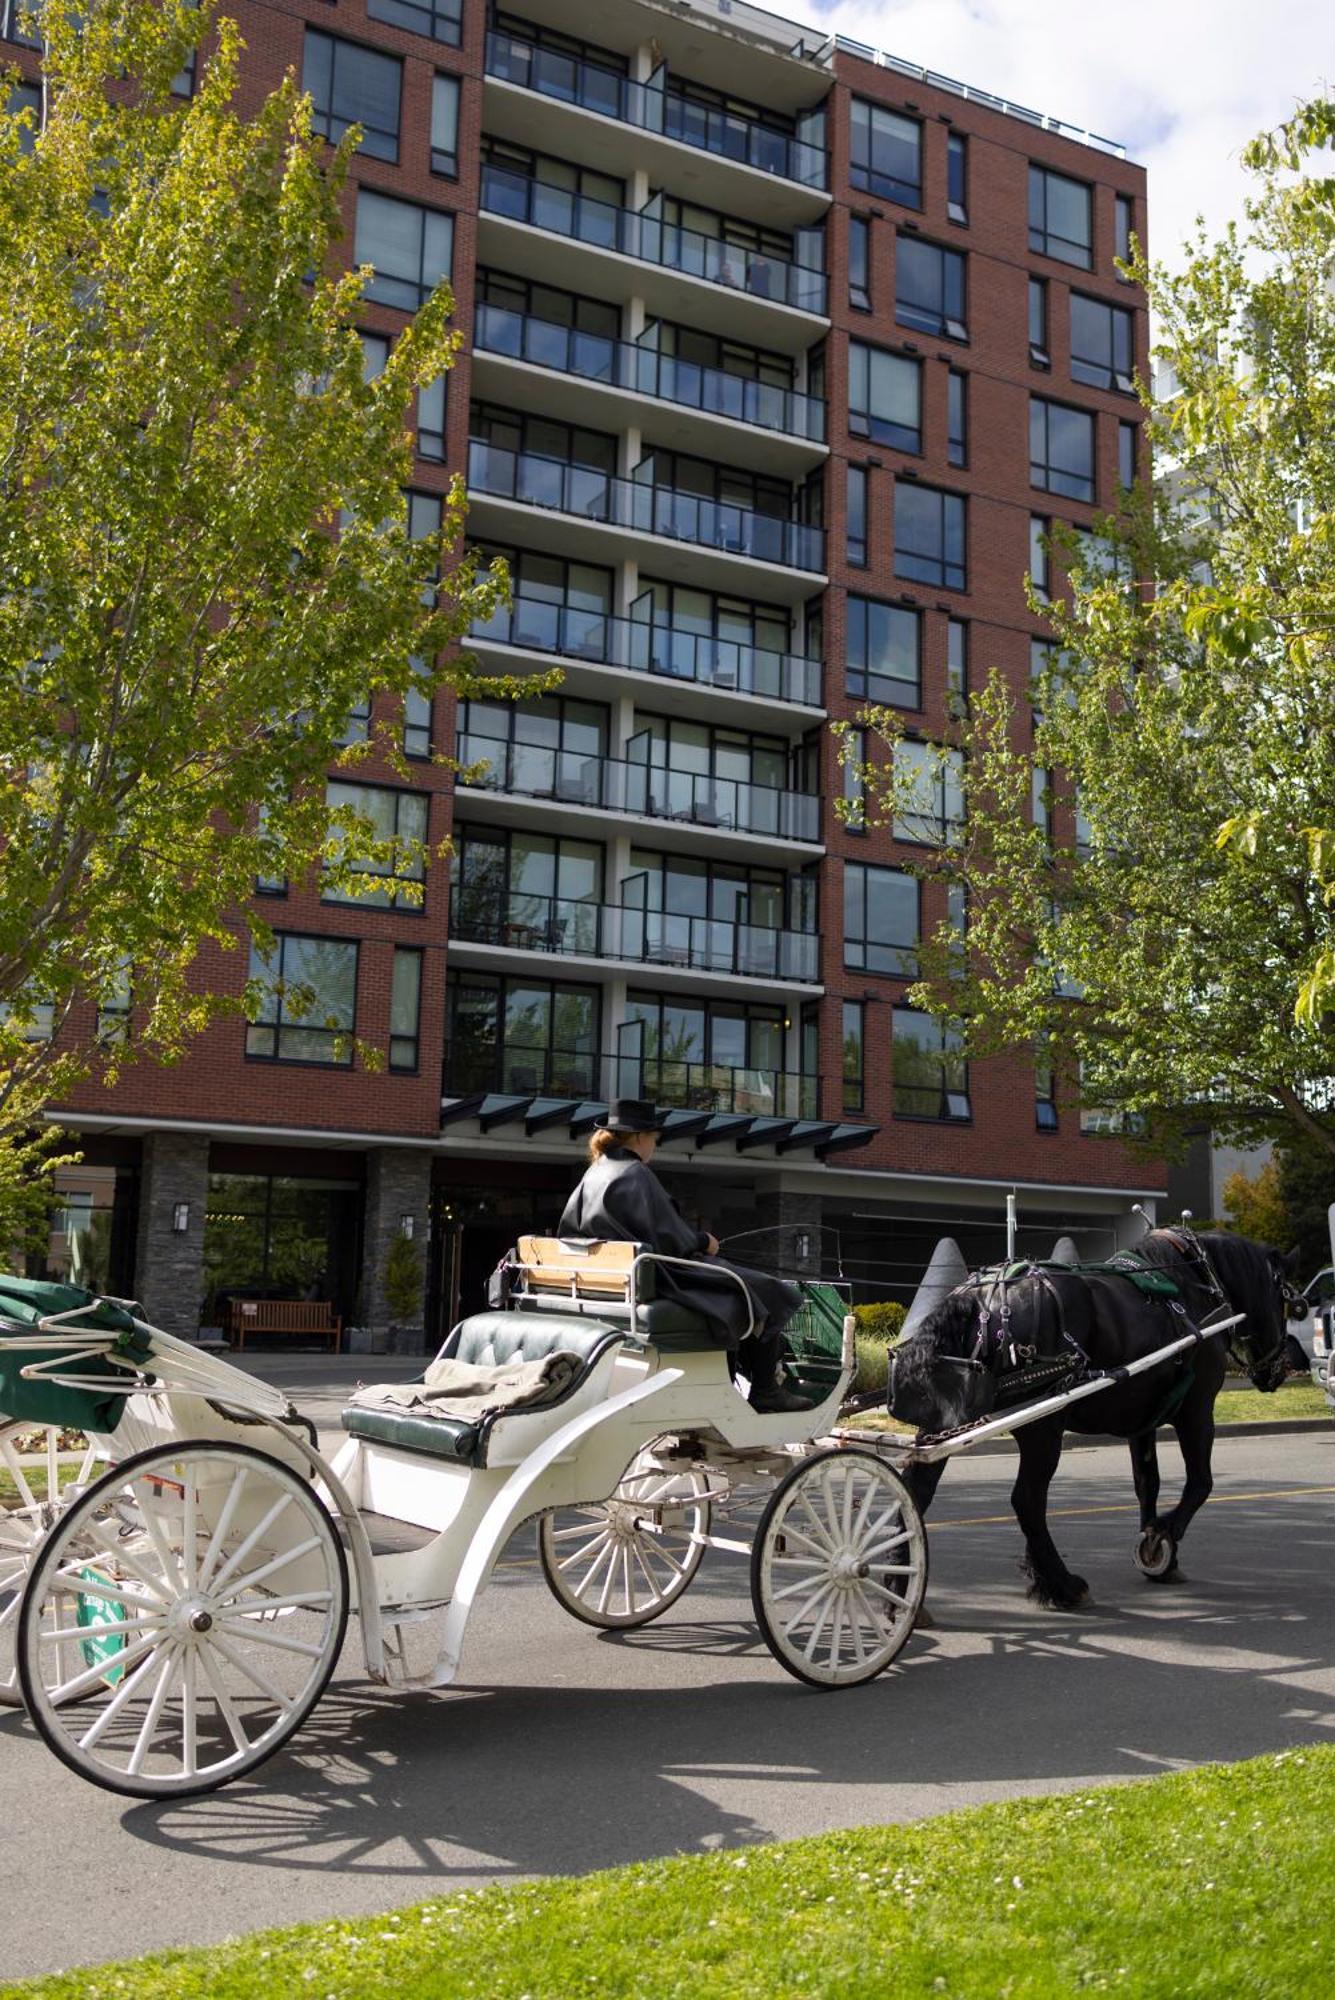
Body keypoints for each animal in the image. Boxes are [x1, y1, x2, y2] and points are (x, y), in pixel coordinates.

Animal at [887, 1216, 1303, 1608]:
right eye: (1286, 1300)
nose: (1281, 1366)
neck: (1195, 1284)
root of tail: (978, 1297)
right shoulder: (1197, 1409)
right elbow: (1201, 1483)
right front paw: (1161, 1539)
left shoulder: (1144, 1422)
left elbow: (1147, 1483)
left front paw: (1156, 1551)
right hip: (1043, 1424)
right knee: (1028, 1500)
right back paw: (1064, 1585)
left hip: (943, 1421)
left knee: (916, 1490)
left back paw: (899, 1585)